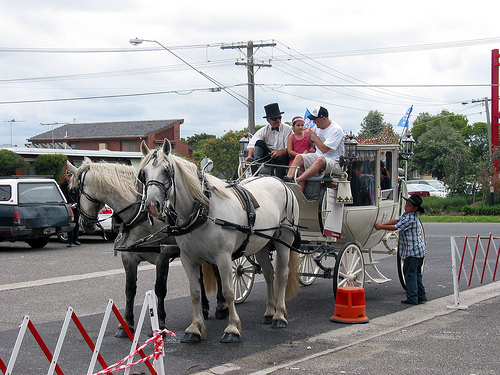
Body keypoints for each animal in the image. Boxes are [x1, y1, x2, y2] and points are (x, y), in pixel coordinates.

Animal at [66, 159, 227, 338]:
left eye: (74, 190)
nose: (84, 224)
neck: (141, 215)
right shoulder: (129, 258)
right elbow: (130, 289)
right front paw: (127, 324)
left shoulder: (162, 256)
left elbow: (160, 289)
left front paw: (160, 323)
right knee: (199, 278)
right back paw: (204, 308)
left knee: (218, 273)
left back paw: (221, 306)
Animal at [139, 139, 298, 344]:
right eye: (143, 174)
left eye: (166, 171)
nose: (152, 205)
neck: (203, 210)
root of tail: (279, 181)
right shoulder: (188, 259)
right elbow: (195, 292)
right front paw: (194, 328)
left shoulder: (223, 257)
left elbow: (229, 291)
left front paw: (232, 328)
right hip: (261, 244)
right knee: (270, 274)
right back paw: (270, 312)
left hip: (283, 240)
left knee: (282, 275)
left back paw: (279, 315)